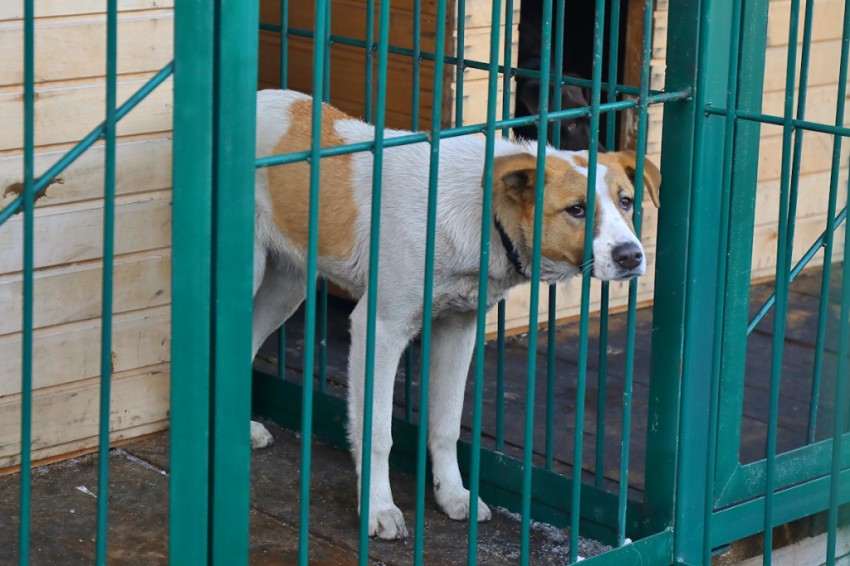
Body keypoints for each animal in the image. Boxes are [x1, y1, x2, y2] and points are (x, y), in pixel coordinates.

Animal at [248, 90, 660, 540]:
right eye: (576, 210)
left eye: (626, 201)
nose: (632, 256)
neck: (484, 218)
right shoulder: (381, 329)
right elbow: (378, 433)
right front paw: (378, 508)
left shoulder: (460, 329)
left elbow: (446, 424)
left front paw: (453, 495)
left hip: (287, 288)